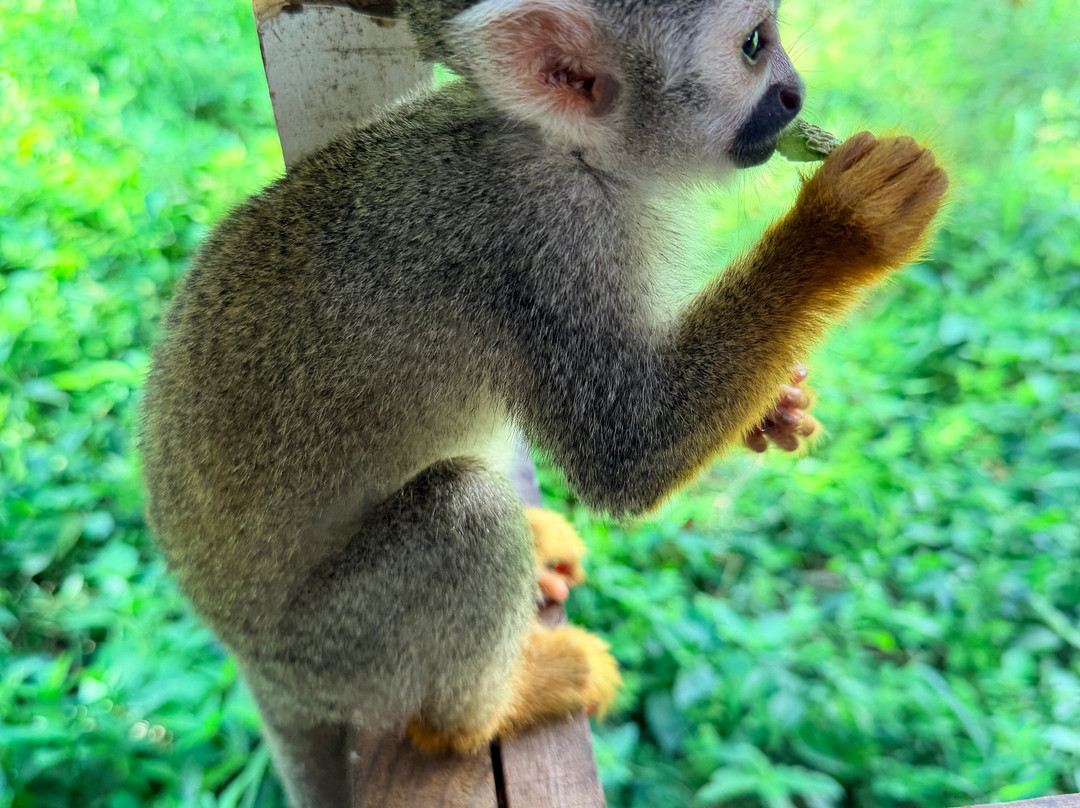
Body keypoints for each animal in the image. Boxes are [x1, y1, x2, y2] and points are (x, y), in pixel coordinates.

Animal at [140, 0, 948, 805]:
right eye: (754, 45)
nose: (795, 95)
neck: (566, 148)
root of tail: (251, 662)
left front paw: (774, 407)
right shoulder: (549, 245)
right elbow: (626, 455)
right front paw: (848, 224)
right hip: (337, 653)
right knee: (462, 514)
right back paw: (478, 716)